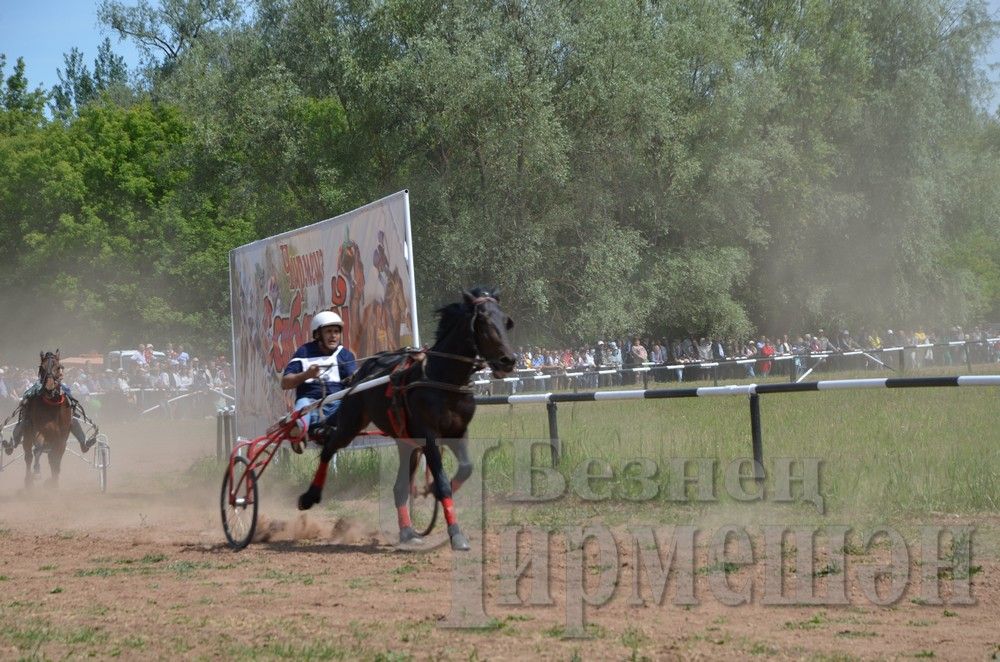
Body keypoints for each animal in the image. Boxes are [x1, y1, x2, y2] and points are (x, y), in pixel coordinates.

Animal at [19, 352, 74, 488]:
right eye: (41, 367)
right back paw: (29, 481)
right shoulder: (39, 431)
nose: (49, 387)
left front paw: (54, 482)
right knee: (28, 455)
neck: (52, 406)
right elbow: (38, 448)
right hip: (27, 433)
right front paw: (37, 473)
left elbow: (56, 459)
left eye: (58, 367)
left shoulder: (62, 438)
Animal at [294, 288, 516, 552]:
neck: (443, 378)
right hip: (351, 422)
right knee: (329, 448)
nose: (508, 360)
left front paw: (431, 490)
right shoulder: (429, 436)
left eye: (506, 321)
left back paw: (408, 531)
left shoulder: (458, 432)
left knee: (399, 486)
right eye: (483, 322)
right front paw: (456, 533)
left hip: (404, 442)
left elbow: (465, 469)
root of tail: (360, 373)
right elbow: (443, 482)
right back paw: (310, 496)